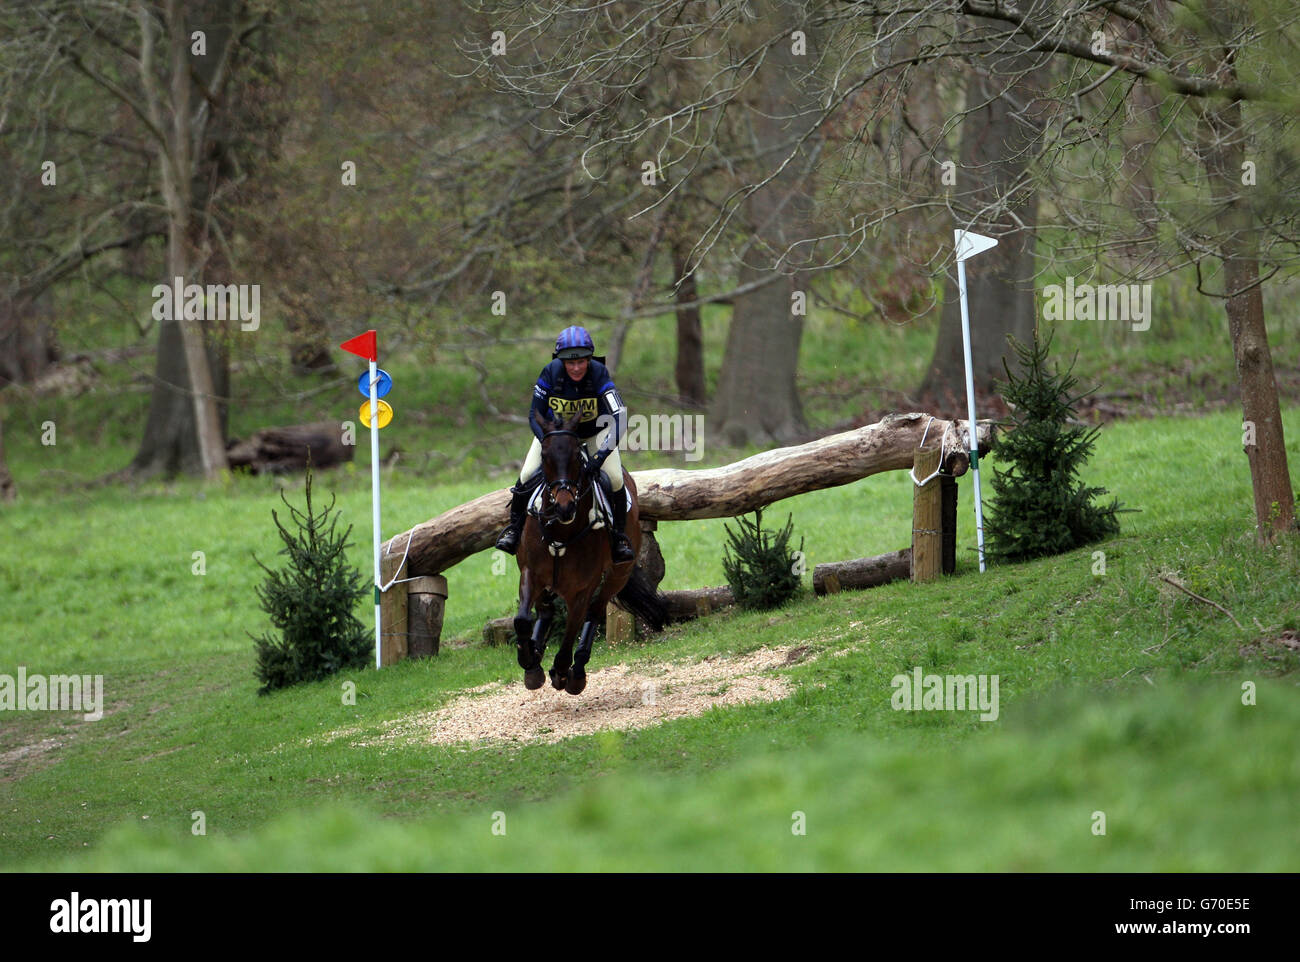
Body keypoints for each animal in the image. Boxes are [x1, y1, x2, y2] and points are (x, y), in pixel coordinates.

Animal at [509, 413, 665, 691]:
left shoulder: (583, 589)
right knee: (546, 609)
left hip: (617, 575)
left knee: (594, 611)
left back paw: (578, 668)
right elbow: (523, 619)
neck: (561, 532)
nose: (564, 507)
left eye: (576, 458)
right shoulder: (530, 573)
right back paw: (536, 652)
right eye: (545, 457)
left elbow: (572, 628)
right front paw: (530, 664)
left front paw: (562, 672)